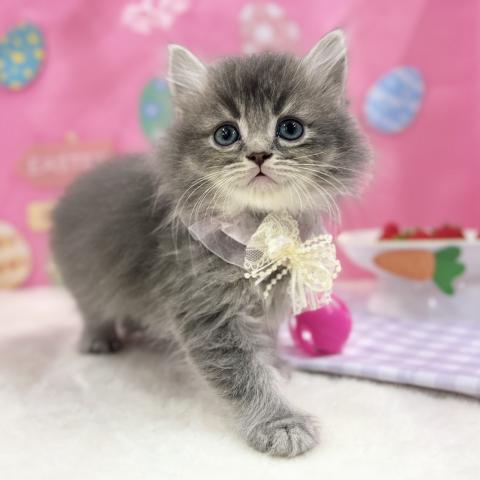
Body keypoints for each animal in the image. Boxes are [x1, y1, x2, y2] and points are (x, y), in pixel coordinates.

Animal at [51, 30, 370, 457]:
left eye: (290, 128)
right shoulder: (207, 311)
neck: (260, 228)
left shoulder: (268, 303)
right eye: (225, 134)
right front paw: (279, 422)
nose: (258, 154)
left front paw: (278, 367)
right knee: (92, 309)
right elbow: (244, 373)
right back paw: (99, 338)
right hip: (85, 279)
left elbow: (266, 343)